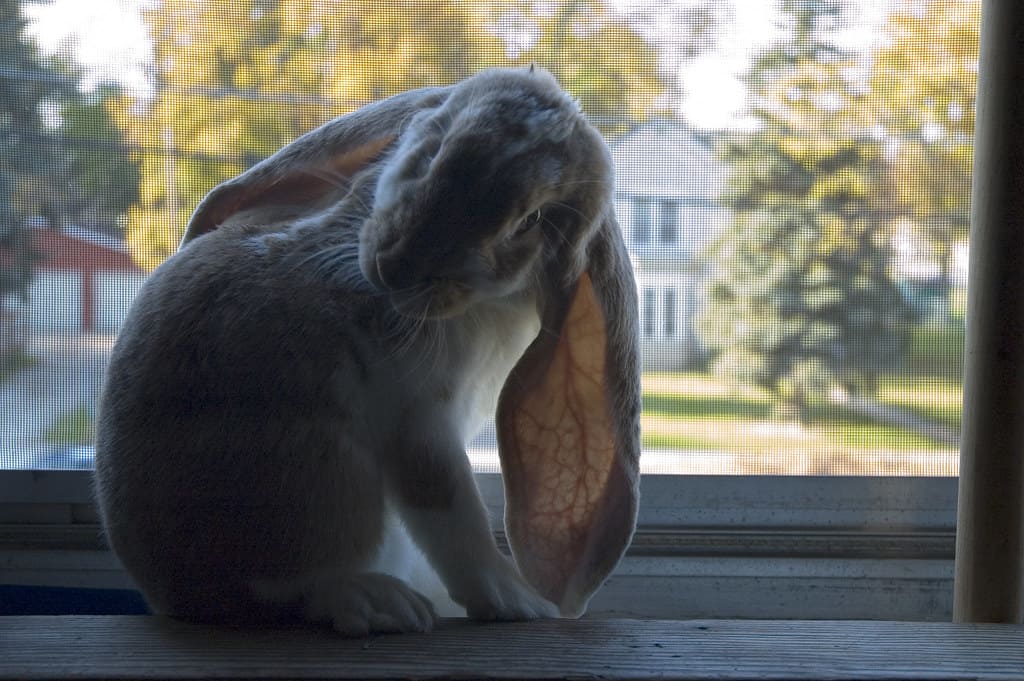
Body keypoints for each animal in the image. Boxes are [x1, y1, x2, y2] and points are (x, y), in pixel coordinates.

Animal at [96, 66, 638, 634]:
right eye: (436, 144)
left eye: (531, 221)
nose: (396, 265)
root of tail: (170, 594)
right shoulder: (420, 424)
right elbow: (452, 512)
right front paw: (517, 601)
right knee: (291, 592)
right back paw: (379, 600)